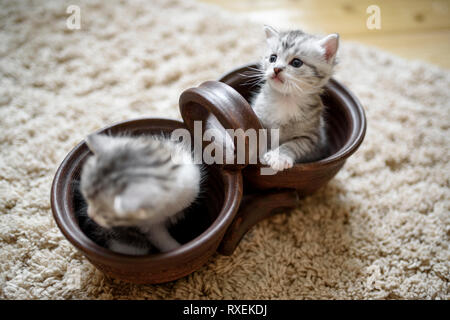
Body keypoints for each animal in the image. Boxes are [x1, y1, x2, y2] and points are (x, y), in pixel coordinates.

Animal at [251, 26, 340, 171]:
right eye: (273, 58)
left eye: (296, 63)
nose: (276, 69)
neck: (285, 99)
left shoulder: (311, 138)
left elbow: (293, 145)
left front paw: (279, 157)